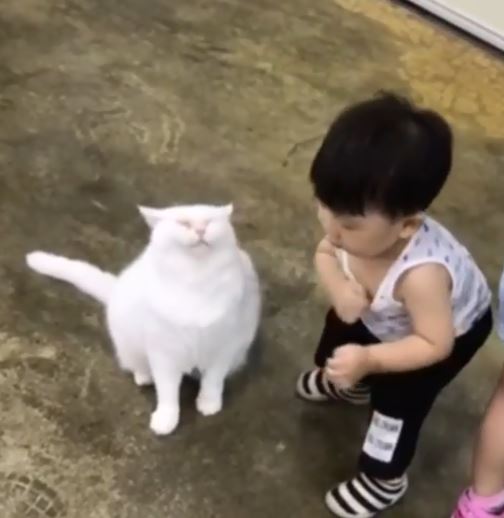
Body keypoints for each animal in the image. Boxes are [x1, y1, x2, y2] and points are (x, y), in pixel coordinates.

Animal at [26, 204, 261, 435]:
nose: (201, 229)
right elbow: (167, 392)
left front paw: (209, 403)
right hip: (130, 342)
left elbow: (213, 380)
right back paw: (144, 376)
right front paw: (166, 419)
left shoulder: (224, 347)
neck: (197, 280)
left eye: (210, 221)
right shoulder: (164, 352)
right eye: (183, 222)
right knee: (138, 365)